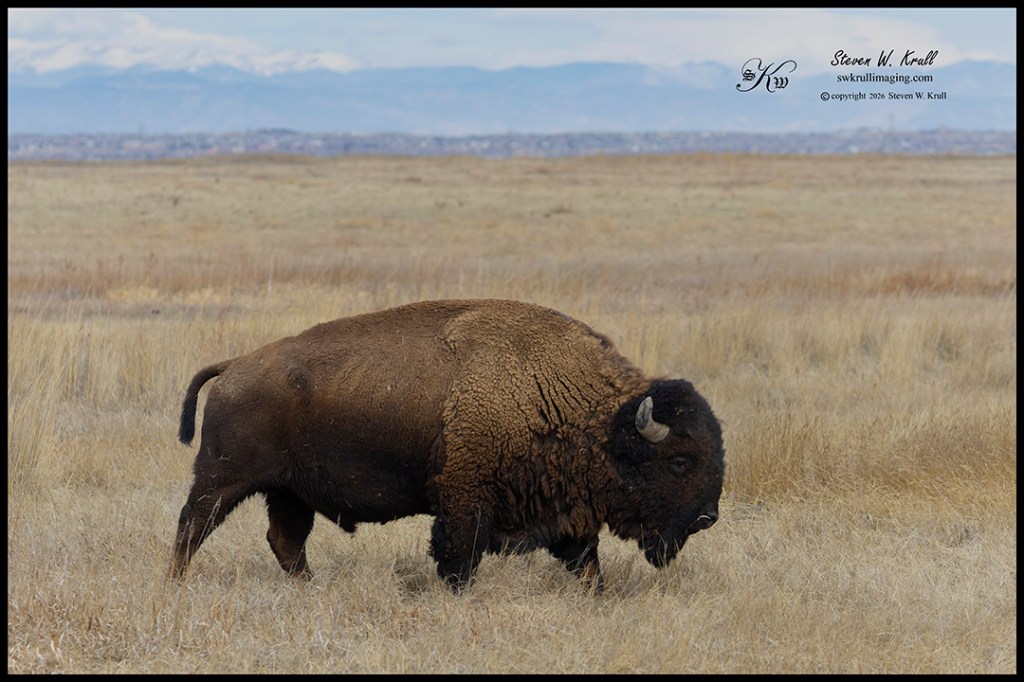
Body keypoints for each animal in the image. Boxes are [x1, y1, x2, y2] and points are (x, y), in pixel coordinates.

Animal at [171, 299, 724, 591]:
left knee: (286, 540)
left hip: (289, 491)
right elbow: (459, 558)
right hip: (223, 478)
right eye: (679, 461)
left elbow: (586, 561)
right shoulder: (465, 502)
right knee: (192, 526)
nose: (707, 517)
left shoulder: (565, 509)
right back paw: (175, 584)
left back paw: (311, 588)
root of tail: (234, 365)